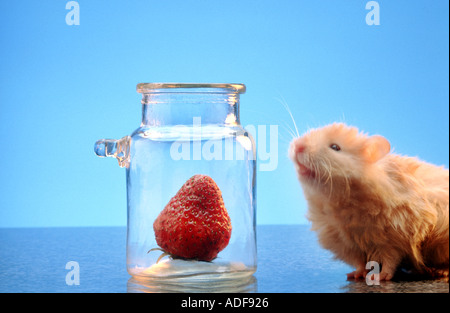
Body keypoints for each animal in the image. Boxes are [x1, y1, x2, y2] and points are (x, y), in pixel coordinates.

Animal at [290, 122, 448, 280]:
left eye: (335, 147)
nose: (297, 146)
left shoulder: (396, 237)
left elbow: (391, 260)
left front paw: (379, 277)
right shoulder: (346, 242)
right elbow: (359, 262)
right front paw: (355, 275)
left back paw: (440, 272)